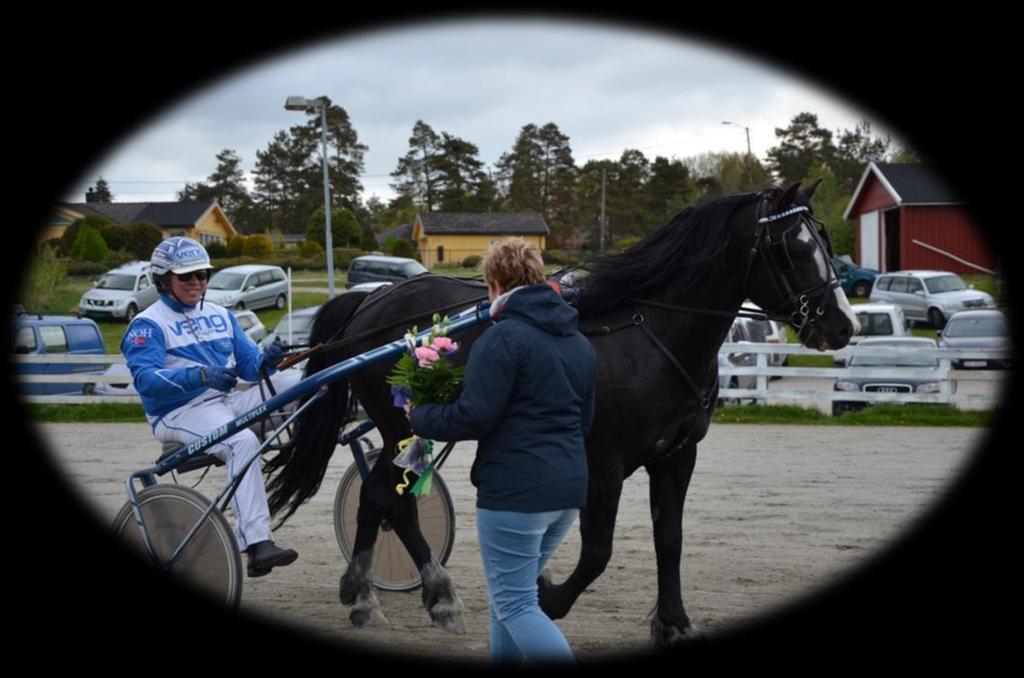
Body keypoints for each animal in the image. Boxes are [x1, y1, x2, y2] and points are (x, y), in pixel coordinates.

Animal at [262, 183, 856, 647]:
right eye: (793, 248)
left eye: (826, 242)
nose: (843, 325)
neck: (651, 335)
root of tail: (371, 301)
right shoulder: (603, 463)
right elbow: (597, 551)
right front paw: (549, 598)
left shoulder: (676, 457)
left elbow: (670, 540)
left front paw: (674, 623)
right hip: (401, 425)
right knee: (393, 501)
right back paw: (437, 596)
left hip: (401, 432)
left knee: (375, 496)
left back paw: (363, 595)